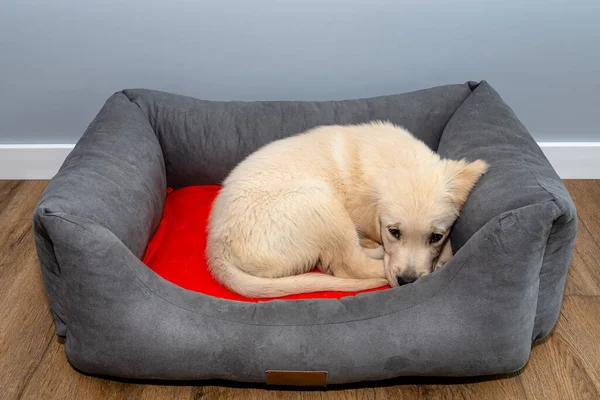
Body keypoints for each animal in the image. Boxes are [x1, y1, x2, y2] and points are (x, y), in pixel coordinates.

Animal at [206, 121, 488, 296]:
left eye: (436, 236)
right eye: (394, 232)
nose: (407, 282)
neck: (399, 160)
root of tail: (217, 246)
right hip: (319, 200)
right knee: (347, 264)